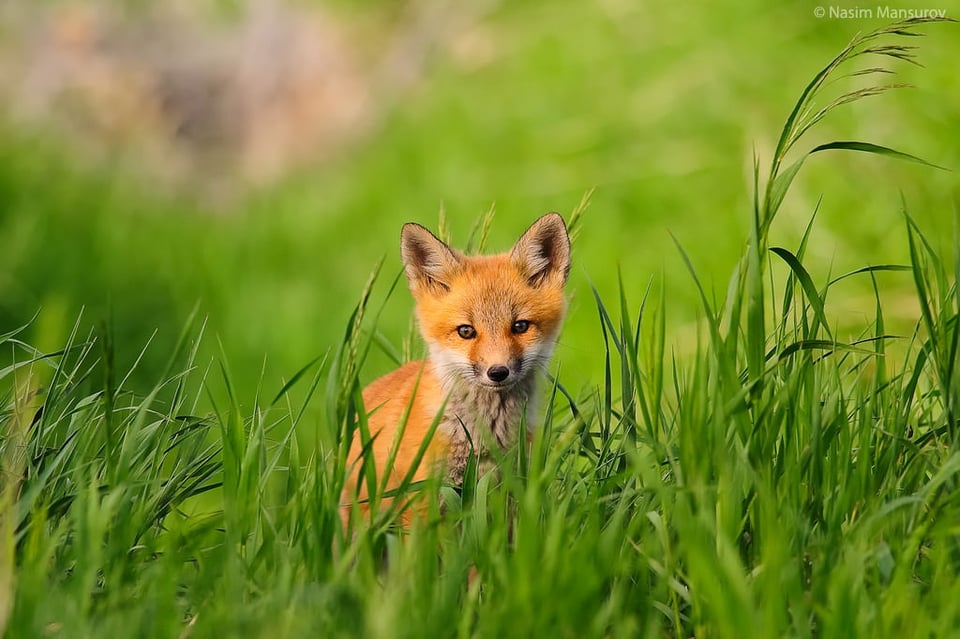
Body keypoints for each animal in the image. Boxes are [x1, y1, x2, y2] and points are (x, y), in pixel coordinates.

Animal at [342, 214, 568, 524]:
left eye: (520, 326)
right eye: (466, 331)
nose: (498, 372)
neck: (484, 438)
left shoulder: (511, 493)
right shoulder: (422, 501)